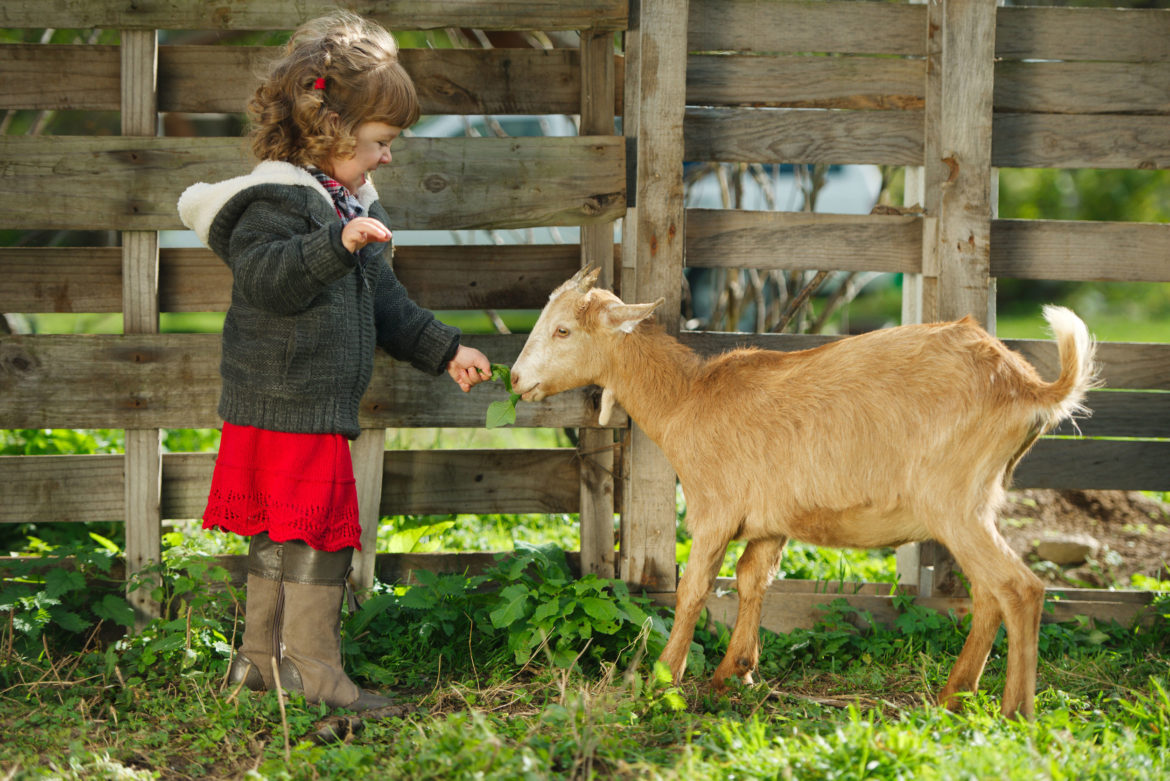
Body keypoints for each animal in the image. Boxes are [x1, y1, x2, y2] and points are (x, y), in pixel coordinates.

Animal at [510, 267, 1097, 719]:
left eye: (562, 330)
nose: (515, 379)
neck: (689, 397)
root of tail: (1027, 386)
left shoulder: (714, 511)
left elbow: (694, 588)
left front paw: (661, 678)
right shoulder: (772, 523)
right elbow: (753, 579)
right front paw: (736, 673)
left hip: (955, 504)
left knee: (1020, 590)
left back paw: (1015, 711)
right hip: (976, 504)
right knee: (987, 594)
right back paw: (956, 695)